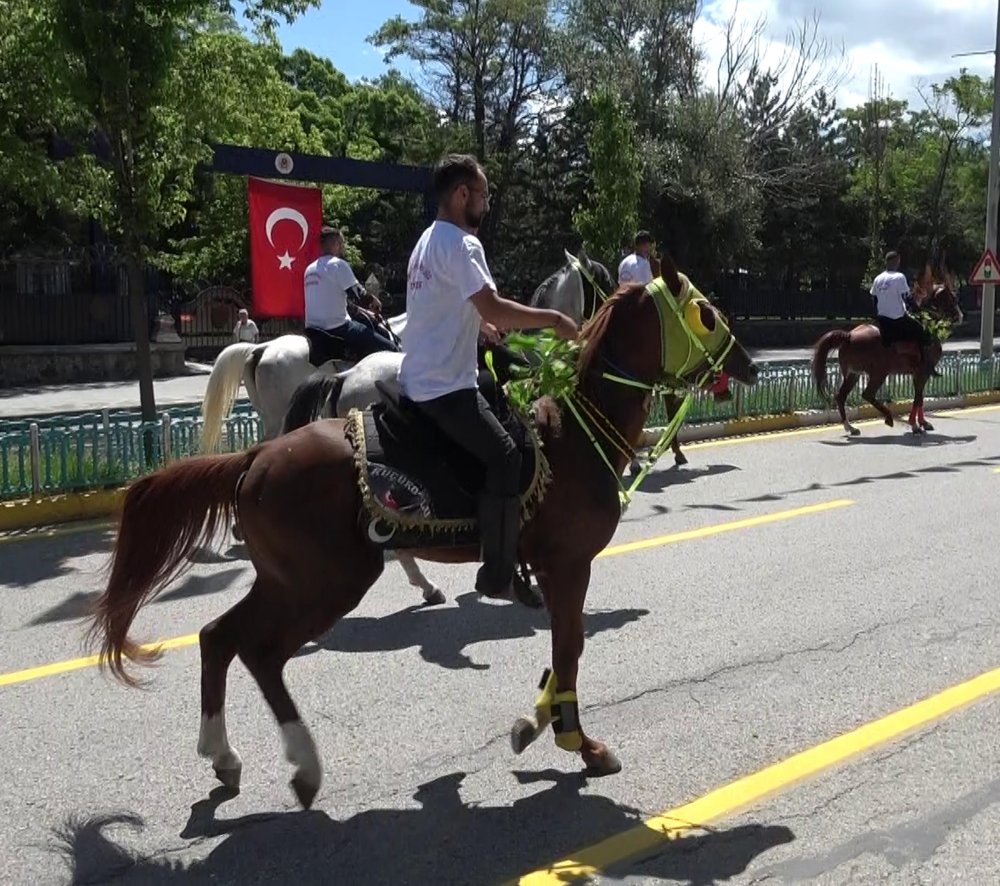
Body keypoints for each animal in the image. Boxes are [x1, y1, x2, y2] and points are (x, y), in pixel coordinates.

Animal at [84, 253, 756, 816]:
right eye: (705, 311)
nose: (746, 364)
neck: (571, 430)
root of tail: (256, 457)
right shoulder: (569, 565)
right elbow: (570, 649)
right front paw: (576, 741)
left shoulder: (555, 568)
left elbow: (563, 651)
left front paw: (537, 725)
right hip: (325, 583)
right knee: (260, 652)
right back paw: (305, 765)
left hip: (288, 579)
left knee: (218, 636)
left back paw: (225, 756)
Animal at [808, 268, 964, 438]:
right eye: (952, 298)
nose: (959, 316)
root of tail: (849, 336)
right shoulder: (922, 372)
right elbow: (917, 398)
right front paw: (914, 424)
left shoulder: (919, 374)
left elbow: (920, 398)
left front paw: (923, 422)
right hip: (879, 373)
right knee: (867, 394)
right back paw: (888, 417)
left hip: (853, 374)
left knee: (841, 396)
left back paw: (850, 427)